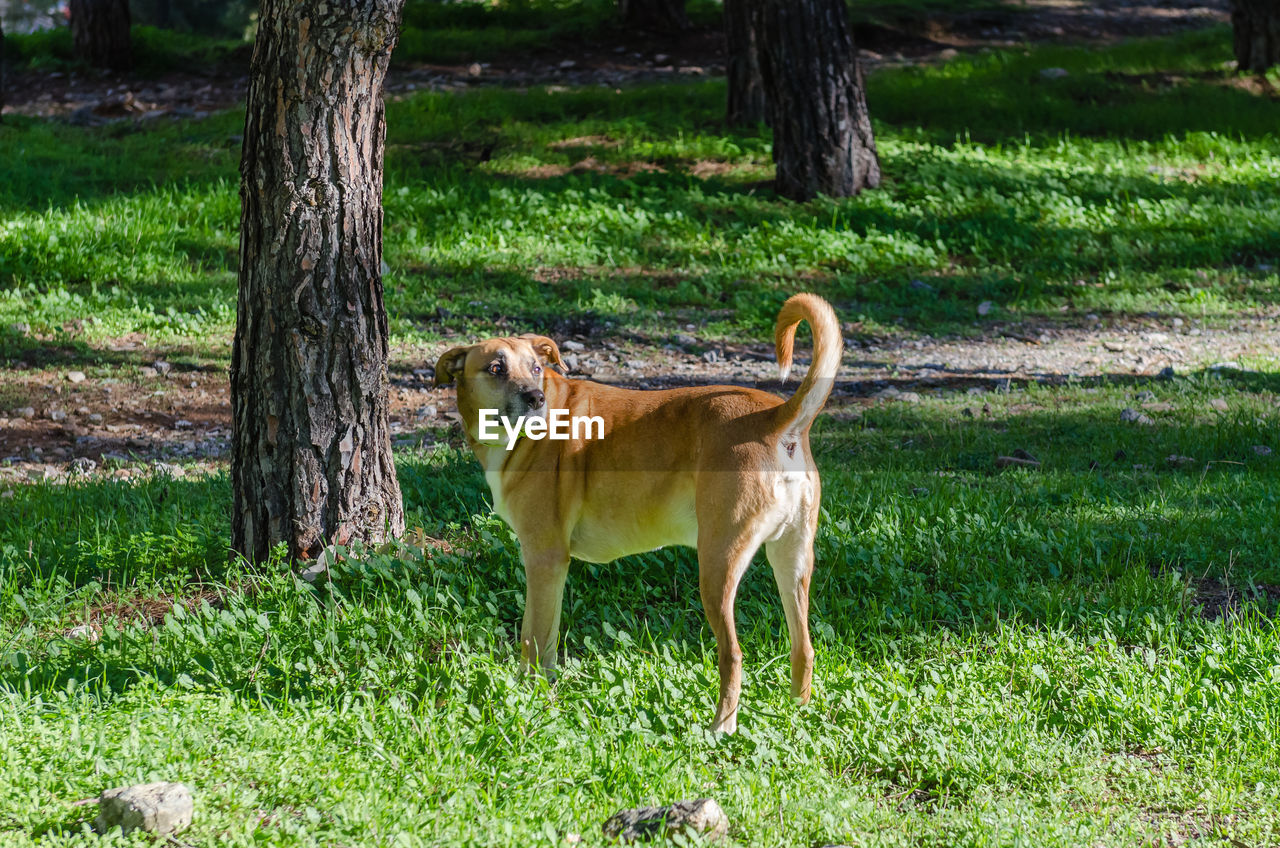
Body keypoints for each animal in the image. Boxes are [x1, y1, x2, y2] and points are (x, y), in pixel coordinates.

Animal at [435, 292, 844, 732]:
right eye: (496, 368)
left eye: (535, 368)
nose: (536, 398)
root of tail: (775, 418)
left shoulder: (545, 559)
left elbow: (534, 640)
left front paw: (533, 699)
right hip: (792, 561)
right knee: (804, 648)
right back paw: (797, 712)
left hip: (717, 565)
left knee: (733, 655)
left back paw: (720, 728)